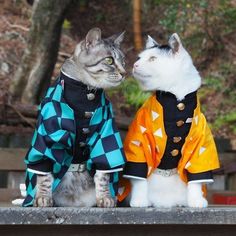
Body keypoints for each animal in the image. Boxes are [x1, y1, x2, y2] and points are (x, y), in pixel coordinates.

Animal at [121, 32, 219, 206]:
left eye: (152, 59)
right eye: (139, 58)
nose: (134, 65)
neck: (176, 99)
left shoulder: (201, 144)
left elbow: (197, 178)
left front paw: (196, 201)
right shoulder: (139, 140)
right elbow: (139, 178)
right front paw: (139, 200)